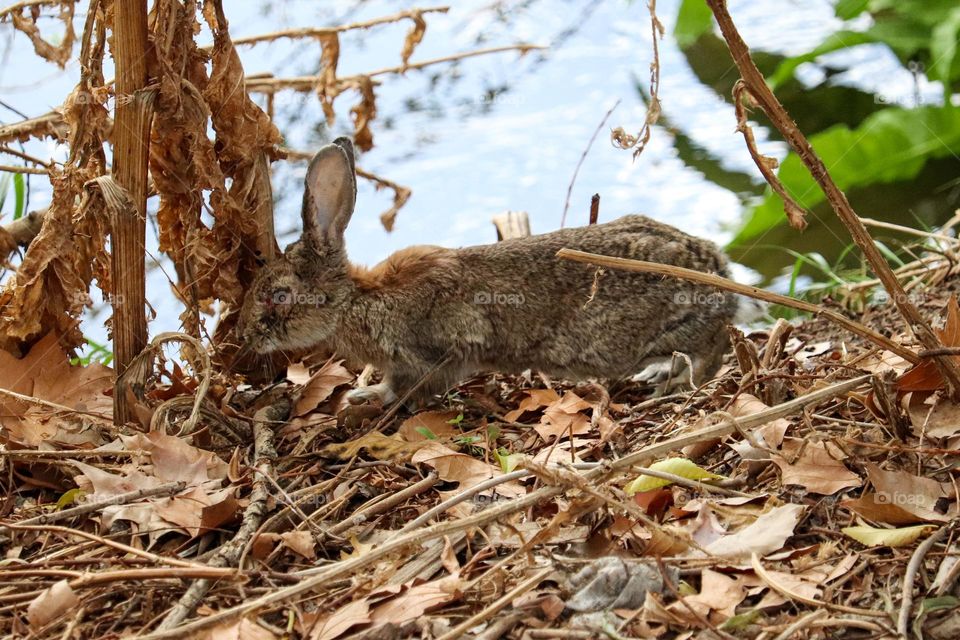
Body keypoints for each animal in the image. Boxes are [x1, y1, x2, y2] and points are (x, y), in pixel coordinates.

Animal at [238, 139, 736, 404]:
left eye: (278, 295)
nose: (245, 336)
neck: (356, 301)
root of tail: (718, 271)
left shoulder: (425, 356)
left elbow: (402, 388)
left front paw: (364, 398)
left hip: (670, 327)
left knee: (712, 350)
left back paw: (673, 381)